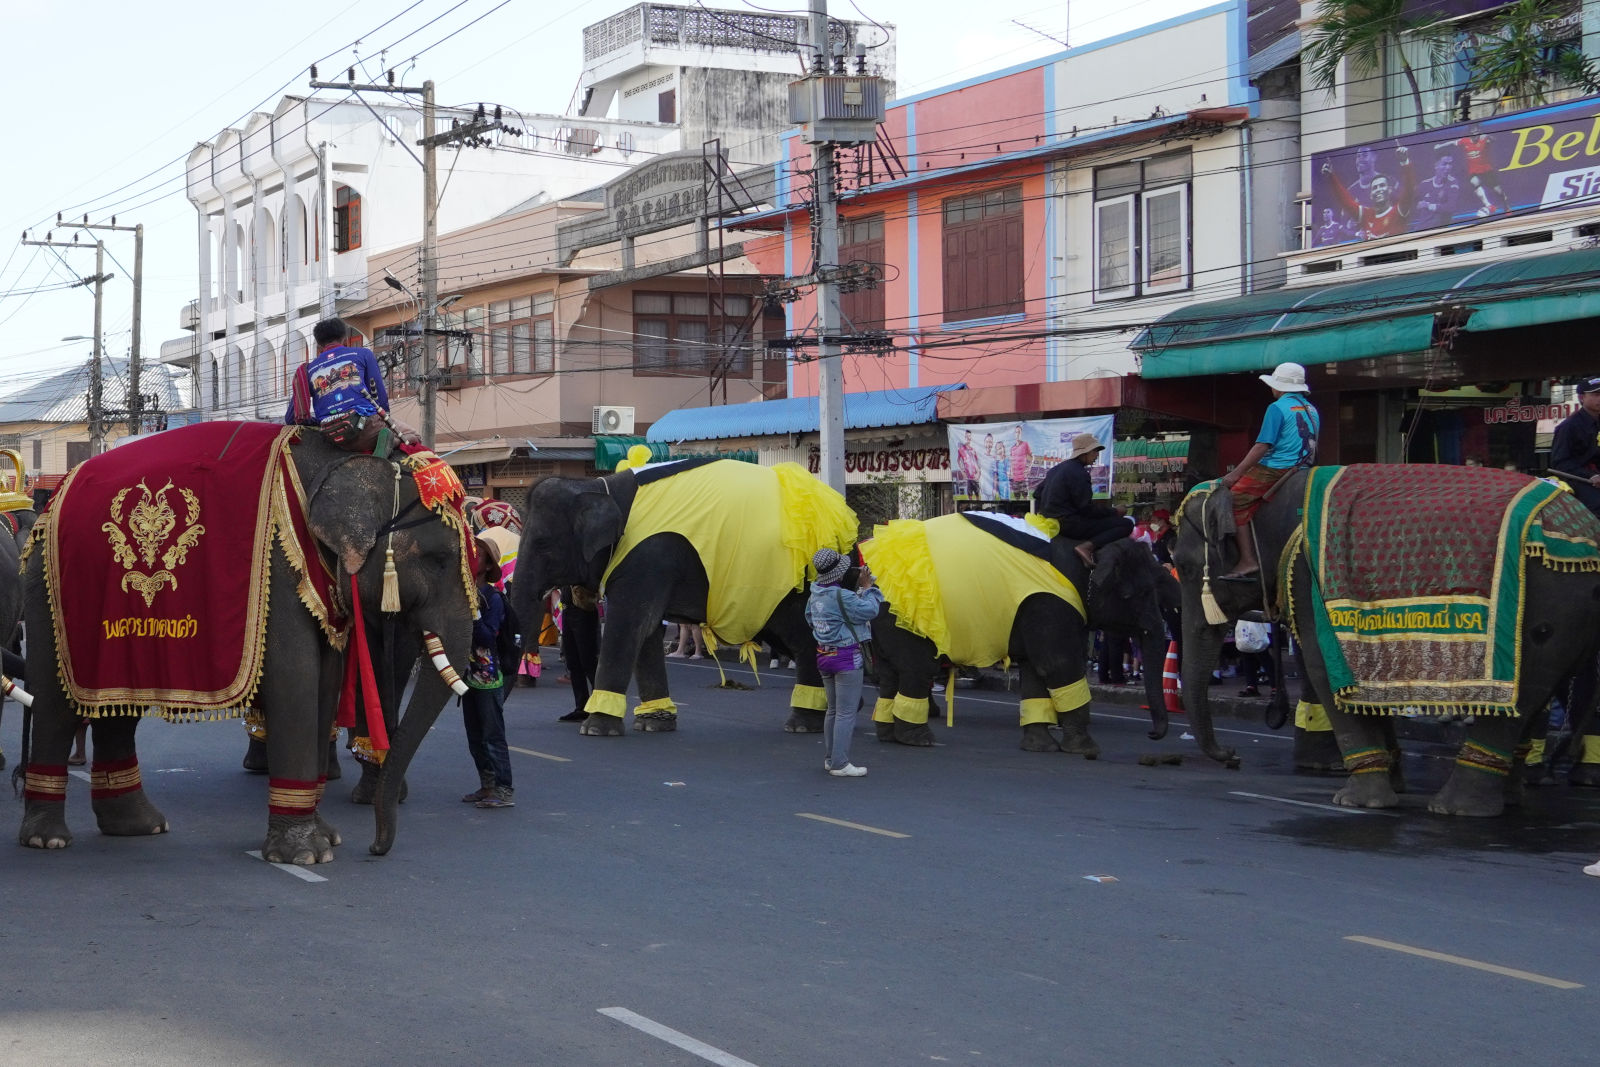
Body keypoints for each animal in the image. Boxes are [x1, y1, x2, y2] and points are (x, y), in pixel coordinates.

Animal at [17, 422, 480, 863]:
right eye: (439, 560)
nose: (376, 848)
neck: (346, 458)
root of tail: (54, 496)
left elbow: (326, 683)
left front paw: (327, 837)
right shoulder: (279, 569)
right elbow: (296, 677)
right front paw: (306, 855)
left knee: (118, 704)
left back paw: (138, 827)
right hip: (48, 590)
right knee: (54, 699)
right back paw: (47, 839)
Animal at [512, 454, 864, 739]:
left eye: (542, 543)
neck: (599, 485)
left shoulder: (650, 556)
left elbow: (629, 625)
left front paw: (596, 729)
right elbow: (646, 631)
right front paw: (653, 723)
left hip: (803, 587)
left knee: (804, 638)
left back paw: (804, 723)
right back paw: (846, 706)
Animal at [857, 511, 1107, 755]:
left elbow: (1035, 668)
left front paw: (1041, 747)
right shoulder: (1049, 602)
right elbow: (1058, 664)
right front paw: (1086, 749)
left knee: (891, 675)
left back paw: (891, 735)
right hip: (908, 620)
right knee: (917, 669)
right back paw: (919, 740)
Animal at [1171, 467, 1600, 819]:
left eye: (1187, 568)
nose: (1232, 757)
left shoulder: (1309, 580)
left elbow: (1323, 670)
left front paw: (1356, 802)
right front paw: (1391, 787)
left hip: (1546, 607)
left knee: (1518, 702)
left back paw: (1455, 809)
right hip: (1564, 616)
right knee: (1537, 699)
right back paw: (1507, 800)